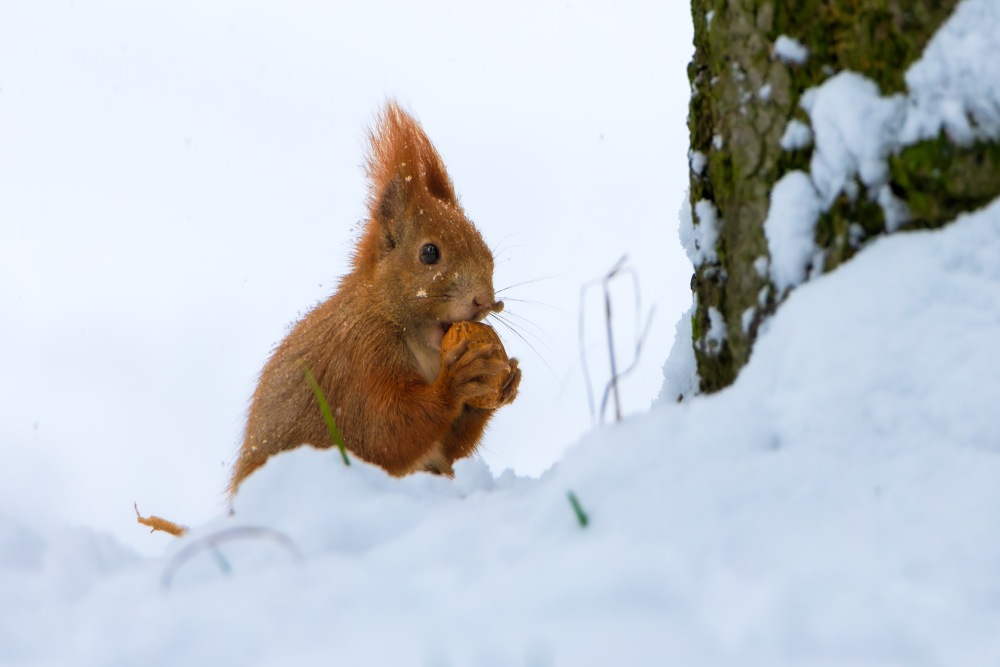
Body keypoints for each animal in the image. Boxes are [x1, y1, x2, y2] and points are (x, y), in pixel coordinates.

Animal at [228, 102, 520, 494]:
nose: (484, 302)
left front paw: (503, 383)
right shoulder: (360, 359)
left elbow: (446, 449)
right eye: (429, 253)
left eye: (486, 249)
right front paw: (457, 380)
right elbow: (385, 431)